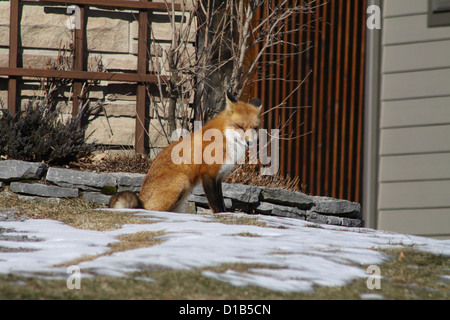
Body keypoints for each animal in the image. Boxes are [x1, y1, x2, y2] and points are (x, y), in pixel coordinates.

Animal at [107, 92, 262, 212]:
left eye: (254, 128)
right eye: (240, 126)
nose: (250, 142)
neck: (225, 138)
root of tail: (141, 197)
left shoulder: (218, 177)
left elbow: (222, 203)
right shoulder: (208, 174)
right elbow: (216, 205)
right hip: (182, 181)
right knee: (153, 210)